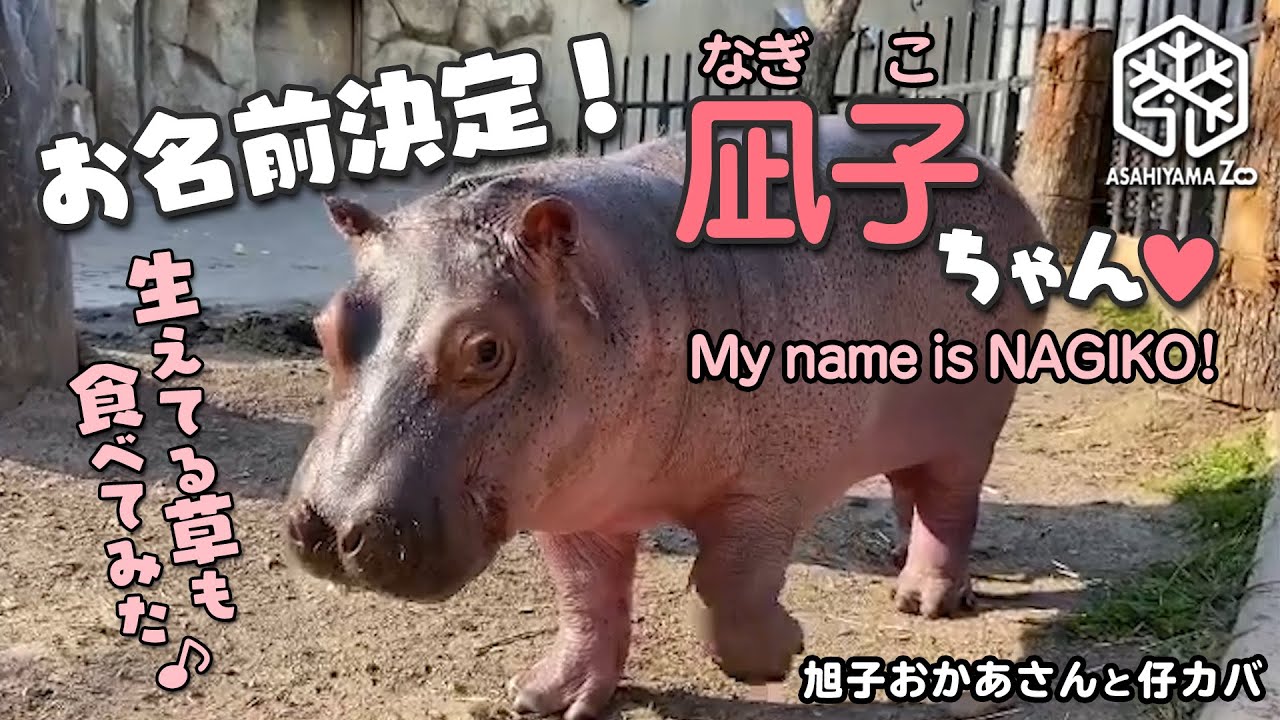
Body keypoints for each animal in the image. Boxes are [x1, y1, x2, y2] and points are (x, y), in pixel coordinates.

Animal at [283, 113, 1048, 719]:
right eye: (324, 326)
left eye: (486, 349)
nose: (333, 528)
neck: (612, 280)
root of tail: (994, 172)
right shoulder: (574, 502)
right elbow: (585, 597)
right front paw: (544, 699)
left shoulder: (767, 488)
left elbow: (723, 586)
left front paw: (784, 650)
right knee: (908, 485)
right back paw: (898, 562)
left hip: (975, 419)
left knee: (950, 504)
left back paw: (924, 601)